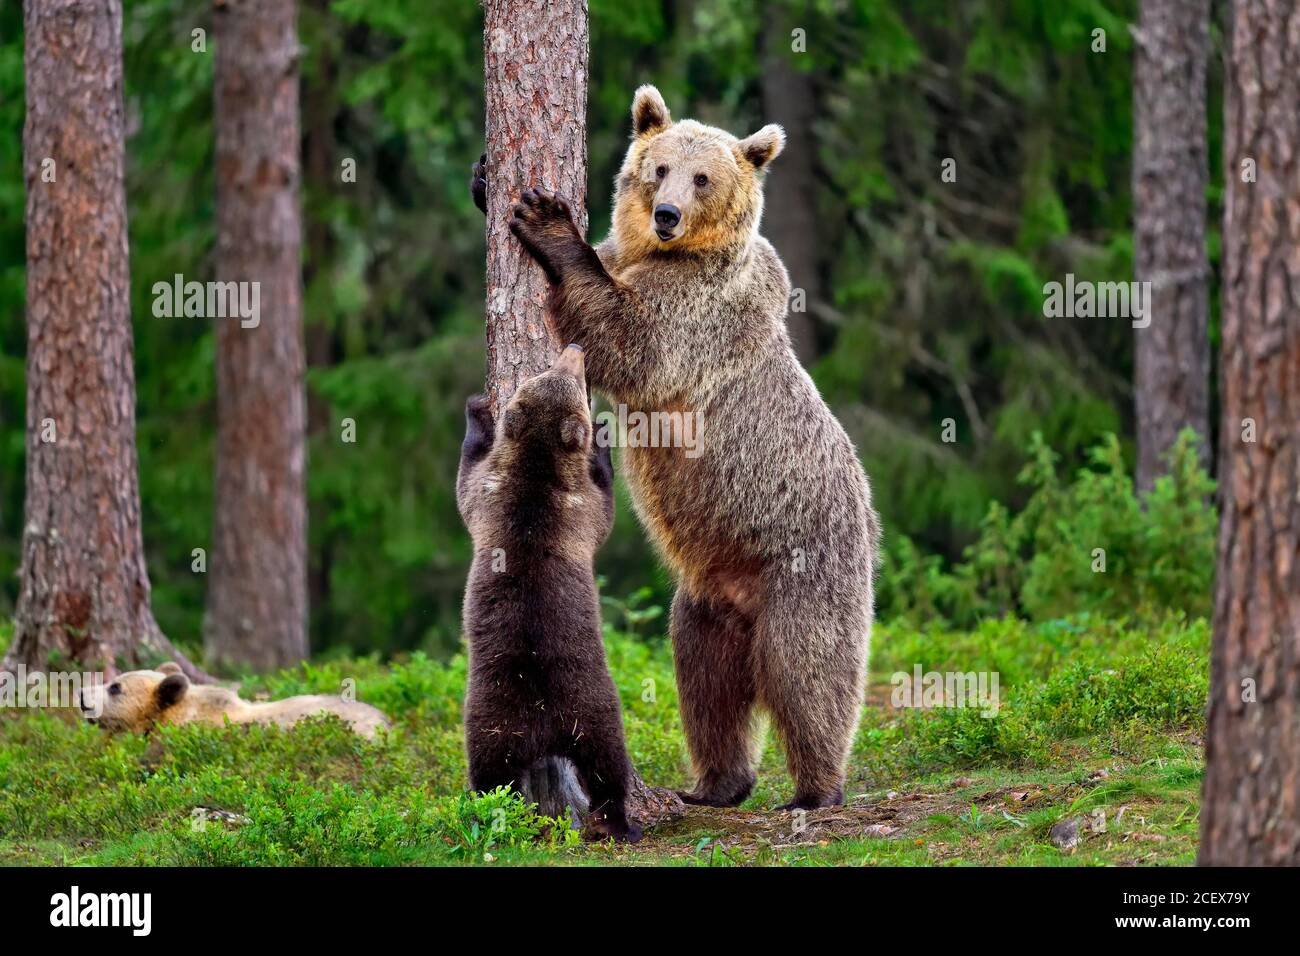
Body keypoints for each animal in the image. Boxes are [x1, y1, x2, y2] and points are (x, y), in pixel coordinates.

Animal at [456, 344, 642, 842]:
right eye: (557, 373)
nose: (575, 350)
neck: (536, 464)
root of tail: (542, 730)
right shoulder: (512, 496)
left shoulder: (511, 498)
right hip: (578, 705)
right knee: (607, 764)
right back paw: (621, 821)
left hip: (508, 716)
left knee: (497, 772)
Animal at [479, 84, 881, 810]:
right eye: (659, 167)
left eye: (703, 178)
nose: (667, 215)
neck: (666, 254)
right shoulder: (641, 262)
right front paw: (482, 180)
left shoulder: (696, 313)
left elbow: (631, 341)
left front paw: (548, 222)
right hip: (708, 594)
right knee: (705, 679)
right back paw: (716, 784)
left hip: (809, 559)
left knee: (808, 669)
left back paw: (815, 789)